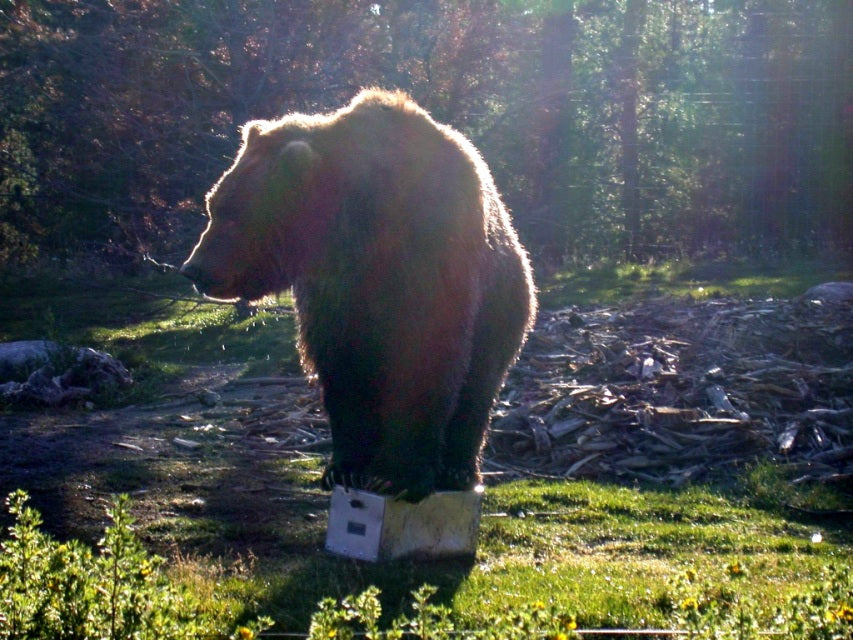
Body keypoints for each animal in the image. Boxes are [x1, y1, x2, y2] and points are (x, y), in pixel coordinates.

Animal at [181, 89, 537, 501]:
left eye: (234, 213)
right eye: (213, 204)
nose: (194, 269)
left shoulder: (430, 258)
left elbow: (426, 359)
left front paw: (397, 475)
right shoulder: (336, 291)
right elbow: (342, 368)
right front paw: (345, 467)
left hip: (504, 305)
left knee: (479, 385)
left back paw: (458, 469)